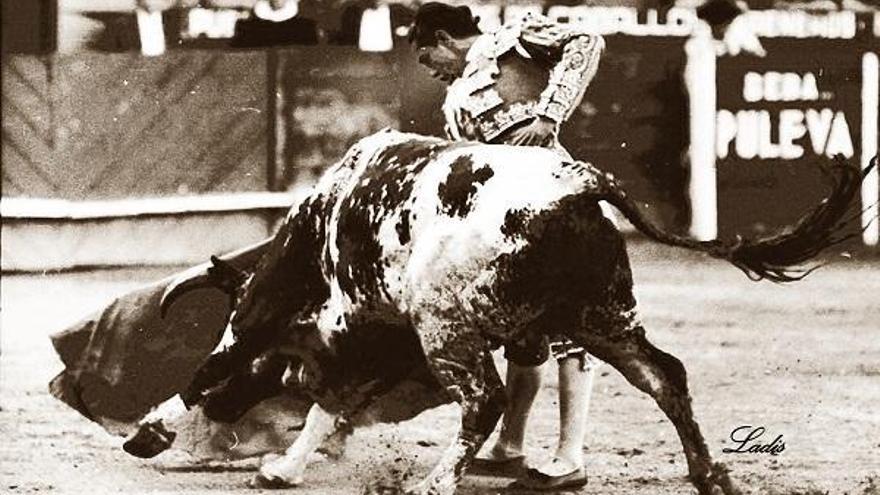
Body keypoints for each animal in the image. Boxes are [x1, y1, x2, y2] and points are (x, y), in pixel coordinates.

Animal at [134, 129, 868, 495]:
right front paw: (283, 466)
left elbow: (217, 362)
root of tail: (579, 186)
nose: (230, 413)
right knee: (664, 374)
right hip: (602, 317)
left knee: (484, 398)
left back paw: (433, 485)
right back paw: (709, 475)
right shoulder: (385, 343)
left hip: (452, 329)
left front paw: (150, 431)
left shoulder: (275, 307)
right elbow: (331, 402)